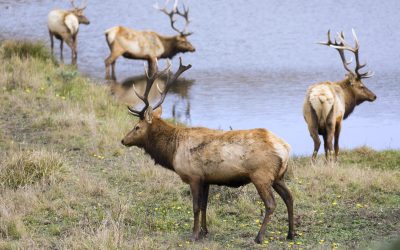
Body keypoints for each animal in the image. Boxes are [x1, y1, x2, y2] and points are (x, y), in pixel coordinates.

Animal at [119, 58, 294, 242]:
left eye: (137, 127)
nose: (123, 140)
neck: (172, 152)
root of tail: (285, 148)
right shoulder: (206, 179)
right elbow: (204, 205)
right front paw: (204, 231)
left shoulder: (194, 176)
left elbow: (196, 206)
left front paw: (194, 234)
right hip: (278, 176)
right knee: (289, 197)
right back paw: (291, 233)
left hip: (261, 175)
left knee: (271, 204)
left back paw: (259, 237)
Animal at [304, 29, 378, 162]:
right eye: (361, 86)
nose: (374, 96)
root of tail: (320, 97)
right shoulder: (340, 119)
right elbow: (336, 145)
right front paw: (335, 161)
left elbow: (325, 148)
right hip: (331, 119)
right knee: (330, 143)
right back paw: (332, 163)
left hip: (310, 120)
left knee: (318, 143)